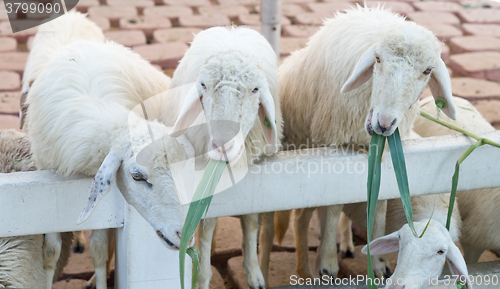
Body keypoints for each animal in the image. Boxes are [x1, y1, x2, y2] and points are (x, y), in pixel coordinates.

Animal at [163, 25, 282, 286]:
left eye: (256, 89)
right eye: (203, 85)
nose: (223, 146)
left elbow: (251, 218)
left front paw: (254, 272)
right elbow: (206, 226)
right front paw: (202, 278)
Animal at [266, 5, 458, 282]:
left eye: (427, 71)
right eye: (377, 59)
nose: (385, 123)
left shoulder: (380, 152)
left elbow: (378, 206)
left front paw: (378, 261)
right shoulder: (334, 144)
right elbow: (334, 206)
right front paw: (326, 263)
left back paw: (346, 244)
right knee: (302, 217)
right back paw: (305, 269)